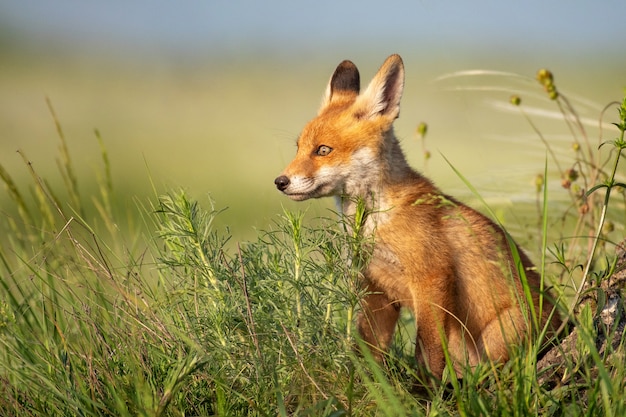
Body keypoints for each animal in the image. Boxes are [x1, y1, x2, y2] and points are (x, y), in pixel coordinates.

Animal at [272, 54, 560, 376]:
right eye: (299, 148)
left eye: (323, 150)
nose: (280, 182)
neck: (373, 224)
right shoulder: (376, 290)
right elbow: (367, 351)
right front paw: (365, 383)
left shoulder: (431, 279)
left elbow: (428, 351)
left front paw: (426, 389)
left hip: (499, 335)